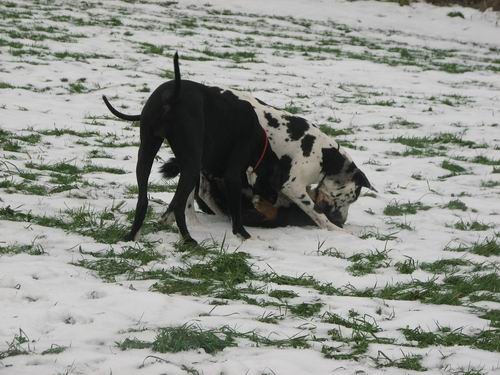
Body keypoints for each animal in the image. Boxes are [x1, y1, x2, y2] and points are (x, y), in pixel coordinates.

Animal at [101, 53, 282, 244]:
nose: (275, 199)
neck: (260, 140)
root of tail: (170, 96)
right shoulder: (231, 175)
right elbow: (235, 211)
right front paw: (242, 233)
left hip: (148, 152)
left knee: (144, 200)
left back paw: (131, 235)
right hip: (191, 167)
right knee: (179, 206)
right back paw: (188, 239)